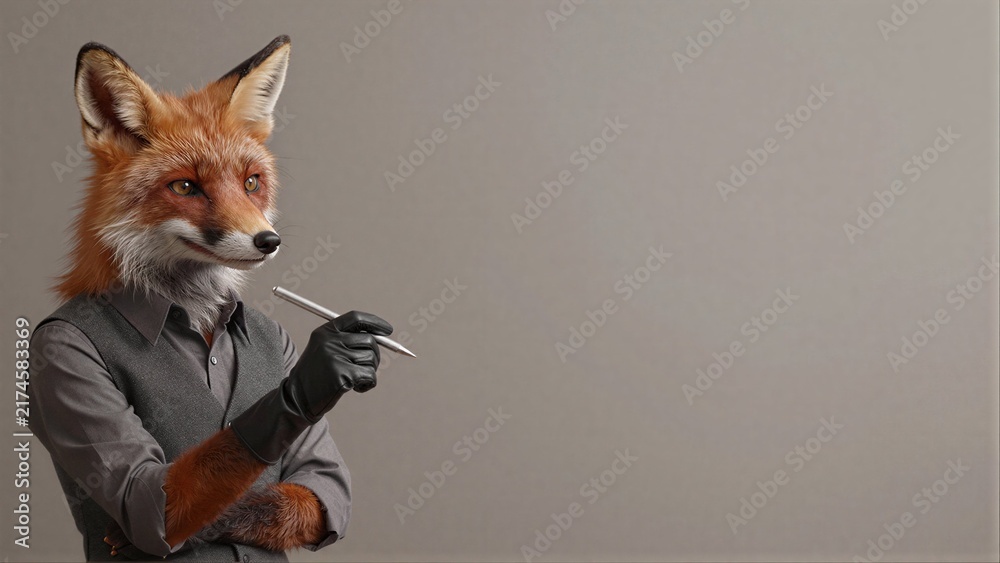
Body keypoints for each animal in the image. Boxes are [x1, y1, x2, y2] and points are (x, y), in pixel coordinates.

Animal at [30, 35, 393, 559]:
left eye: (251, 183)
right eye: (185, 186)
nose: (268, 241)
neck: (196, 308)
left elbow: (312, 491)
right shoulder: (60, 354)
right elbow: (148, 499)